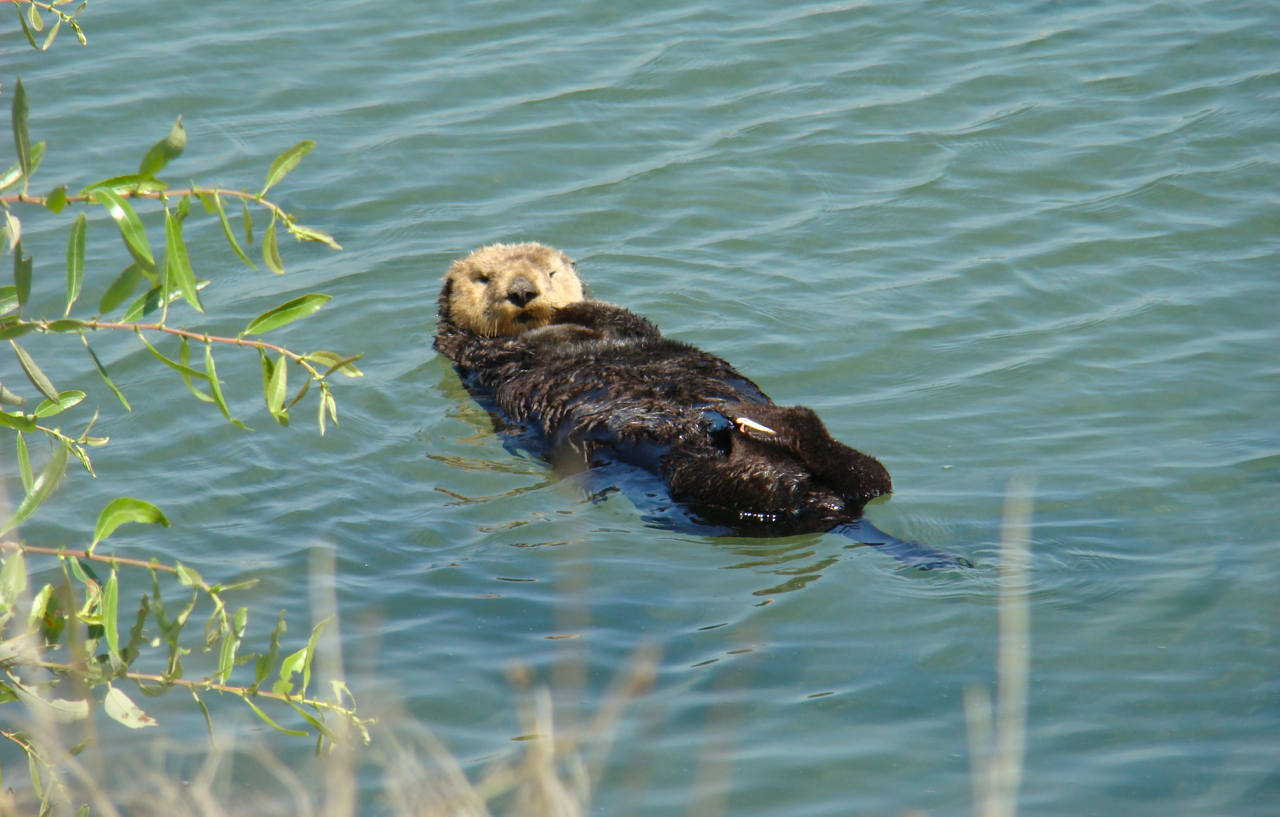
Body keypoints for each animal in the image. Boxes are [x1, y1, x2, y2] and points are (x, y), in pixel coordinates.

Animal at [435, 243, 969, 568]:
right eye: (484, 277)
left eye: (549, 271)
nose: (523, 292)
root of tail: (836, 510)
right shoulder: (479, 358)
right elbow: (501, 349)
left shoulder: (625, 325)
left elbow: (617, 317)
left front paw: (572, 306)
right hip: (703, 492)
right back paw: (764, 424)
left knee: (871, 475)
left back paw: (762, 420)